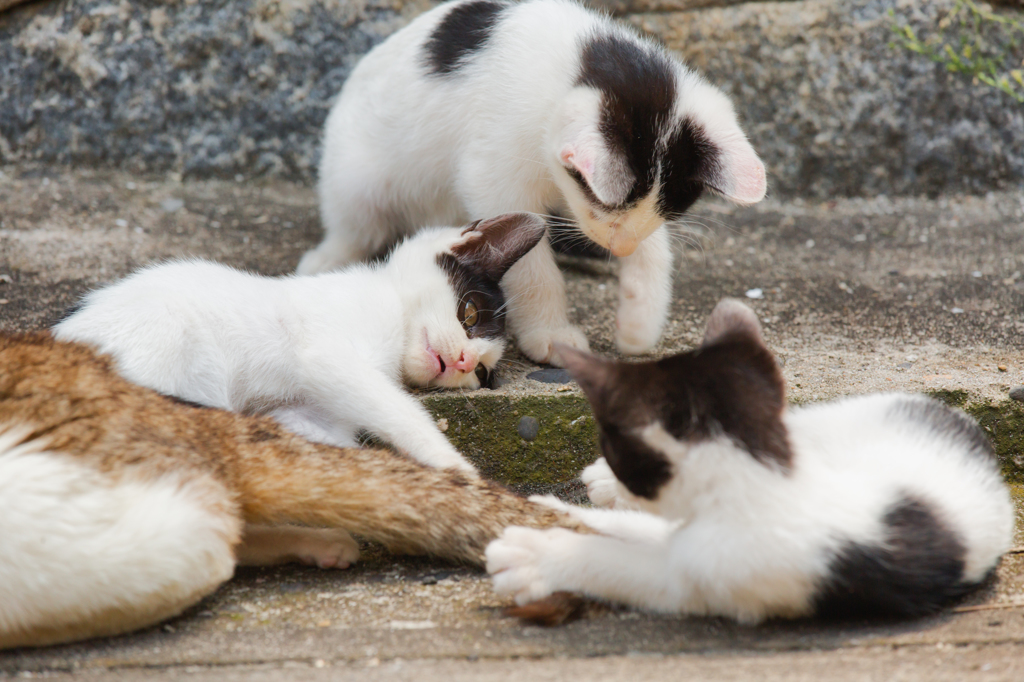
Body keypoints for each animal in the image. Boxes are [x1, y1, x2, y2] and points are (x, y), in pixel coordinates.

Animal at [54, 212, 544, 473]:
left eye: (481, 372)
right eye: (469, 314)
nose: (462, 360)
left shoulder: (307, 410)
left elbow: (323, 437)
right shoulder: (328, 355)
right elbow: (402, 412)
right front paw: (457, 468)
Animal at [299, 0, 765, 366]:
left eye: (669, 209)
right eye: (600, 202)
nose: (620, 248)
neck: (581, 61)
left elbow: (653, 246)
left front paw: (639, 324)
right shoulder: (494, 172)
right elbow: (528, 259)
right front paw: (550, 334)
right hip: (354, 172)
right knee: (357, 220)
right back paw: (330, 257)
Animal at [489, 301, 1015, 618]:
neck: (765, 474)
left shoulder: (710, 573)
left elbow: (623, 563)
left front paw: (540, 555)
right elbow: (639, 531)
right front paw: (552, 512)